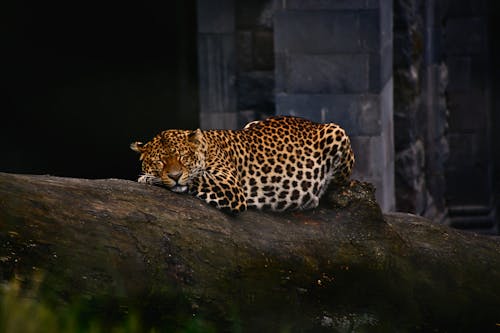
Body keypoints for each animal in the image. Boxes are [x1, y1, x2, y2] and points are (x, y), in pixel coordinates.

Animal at [131, 115, 354, 213]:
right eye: (160, 161)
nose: (175, 176)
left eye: (183, 157)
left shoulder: (229, 186)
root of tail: (312, 123)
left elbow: (196, 176)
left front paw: (148, 178)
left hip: (337, 131)